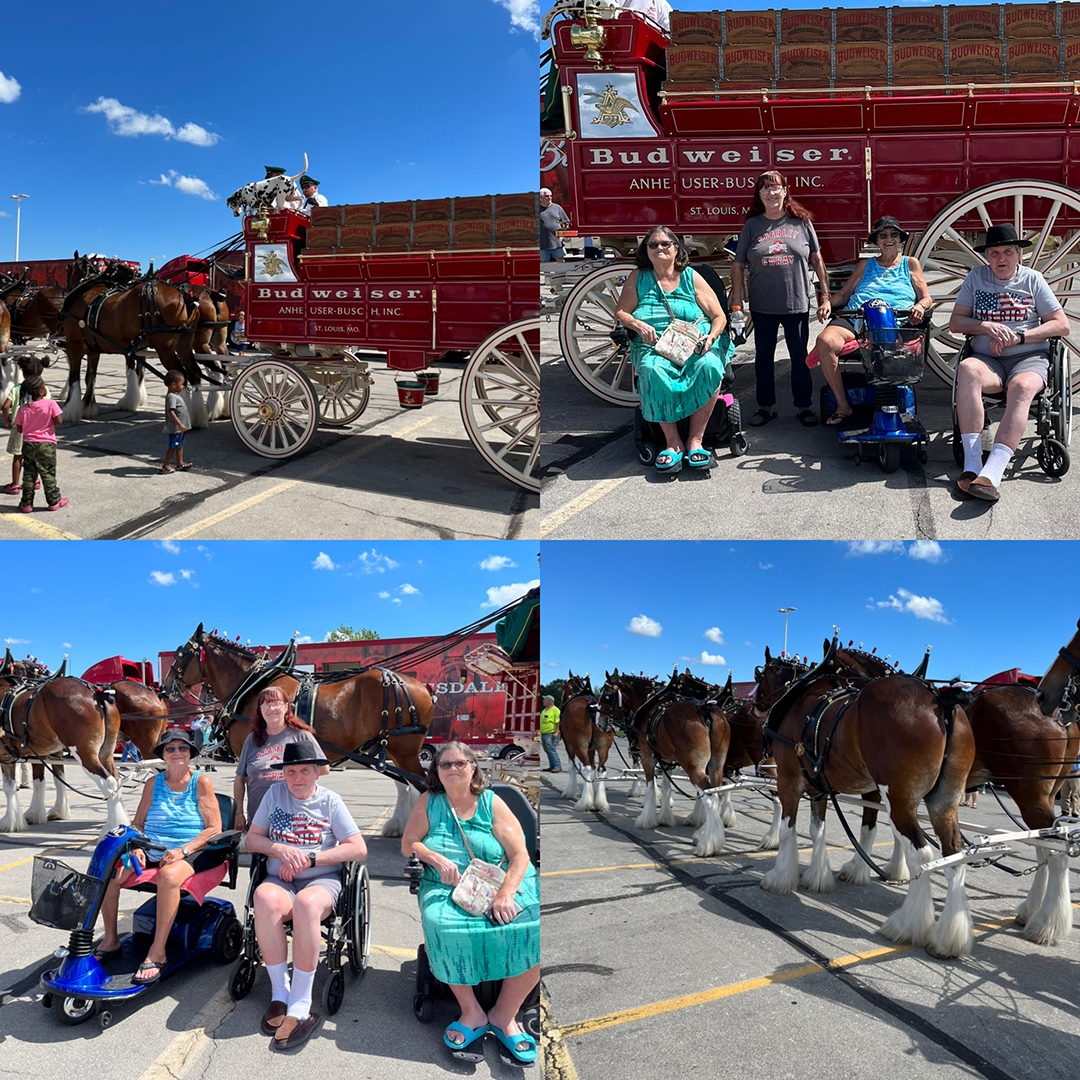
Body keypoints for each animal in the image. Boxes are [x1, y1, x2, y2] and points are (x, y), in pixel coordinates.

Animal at [0, 673, 125, 833]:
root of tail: (96, 693)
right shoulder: (42, 754)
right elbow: (44, 781)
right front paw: (36, 814)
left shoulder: (5, 756)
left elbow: (9, 787)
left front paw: (10, 822)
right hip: (106, 754)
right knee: (117, 780)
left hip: (85, 755)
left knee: (109, 783)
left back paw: (113, 825)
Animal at [60, 252, 200, 421]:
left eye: (68, 269)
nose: (65, 289)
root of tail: (185, 298)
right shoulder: (94, 350)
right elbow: (90, 378)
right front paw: (88, 406)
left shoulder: (73, 348)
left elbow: (74, 378)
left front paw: (68, 411)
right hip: (184, 345)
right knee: (194, 373)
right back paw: (198, 417)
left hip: (165, 350)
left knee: (182, 376)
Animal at [159, 626, 429, 833]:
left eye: (181, 653)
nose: (165, 687)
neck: (252, 686)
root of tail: (418, 686)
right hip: (390, 750)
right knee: (406, 786)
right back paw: (397, 827)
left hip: (404, 751)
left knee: (422, 787)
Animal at [557, 673, 617, 812]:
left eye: (564, 687)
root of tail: (591, 708)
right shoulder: (592, 749)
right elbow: (594, 767)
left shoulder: (569, 746)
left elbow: (572, 767)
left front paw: (569, 792)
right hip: (603, 748)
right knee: (601, 769)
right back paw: (600, 803)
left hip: (580, 747)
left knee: (585, 768)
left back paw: (584, 803)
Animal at [760, 635, 980, 959]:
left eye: (760, 675)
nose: (755, 703)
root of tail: (941, 700)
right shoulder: (821, 787)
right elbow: (821, 830)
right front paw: (818, 876)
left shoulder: (789, 780)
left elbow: (790, 830)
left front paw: (779, 878)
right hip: (944, 803)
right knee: (953, 855)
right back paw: (948, 938)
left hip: (899, 800)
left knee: (922, 855)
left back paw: (907, 925)